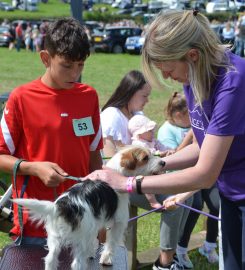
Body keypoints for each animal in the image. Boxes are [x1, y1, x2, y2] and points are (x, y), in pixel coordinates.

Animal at [14, 147, 166, 270]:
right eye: (145, 158)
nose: (163, 162)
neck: (117, 171)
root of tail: (64, 204)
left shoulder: (94, 222)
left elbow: (95, 239)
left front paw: (92, 252)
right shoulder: (118, 222)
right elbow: (110, 244)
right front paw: (106, 259)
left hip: (55, 238)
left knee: (50, 260)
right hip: (80, 240)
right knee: (77, 263)